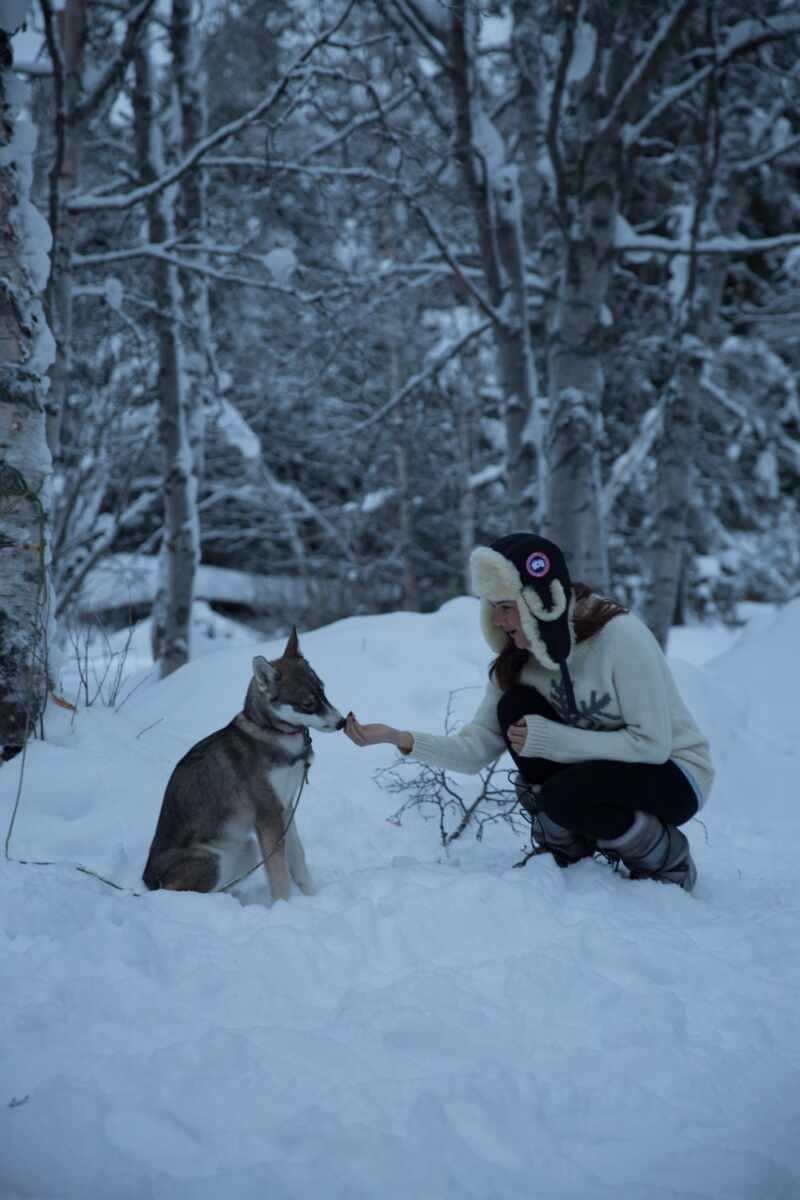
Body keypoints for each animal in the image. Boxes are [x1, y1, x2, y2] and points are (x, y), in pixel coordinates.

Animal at [142, 628, 343, 902]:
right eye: (308, 704)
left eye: (323, 691)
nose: (342, 722)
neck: (273, 734)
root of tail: (147, 880)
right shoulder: (268, 816)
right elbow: (280, 875)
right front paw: (284, 906)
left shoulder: (286, 808)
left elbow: (298, 860)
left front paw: (313, 897)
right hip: (214, 861)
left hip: (246, 849)